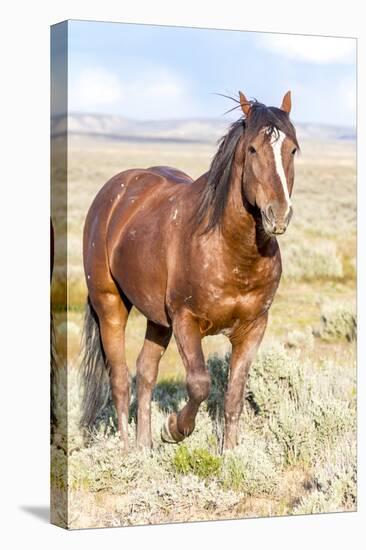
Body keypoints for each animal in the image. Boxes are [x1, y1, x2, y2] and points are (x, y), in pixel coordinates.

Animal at [80, 91, 298, 452]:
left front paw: (230, 453)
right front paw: (174, 428)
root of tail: (115, 192)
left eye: (292, 149)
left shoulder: (253, 327)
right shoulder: (186, 320)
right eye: (253, 149)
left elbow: (234, 395)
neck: (232, 252)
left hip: (157, 320)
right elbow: (199, 383)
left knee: (145, 371)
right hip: (110, 306)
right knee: (120, 378)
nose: (277, 214)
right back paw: (126, 449)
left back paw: (144, 446)